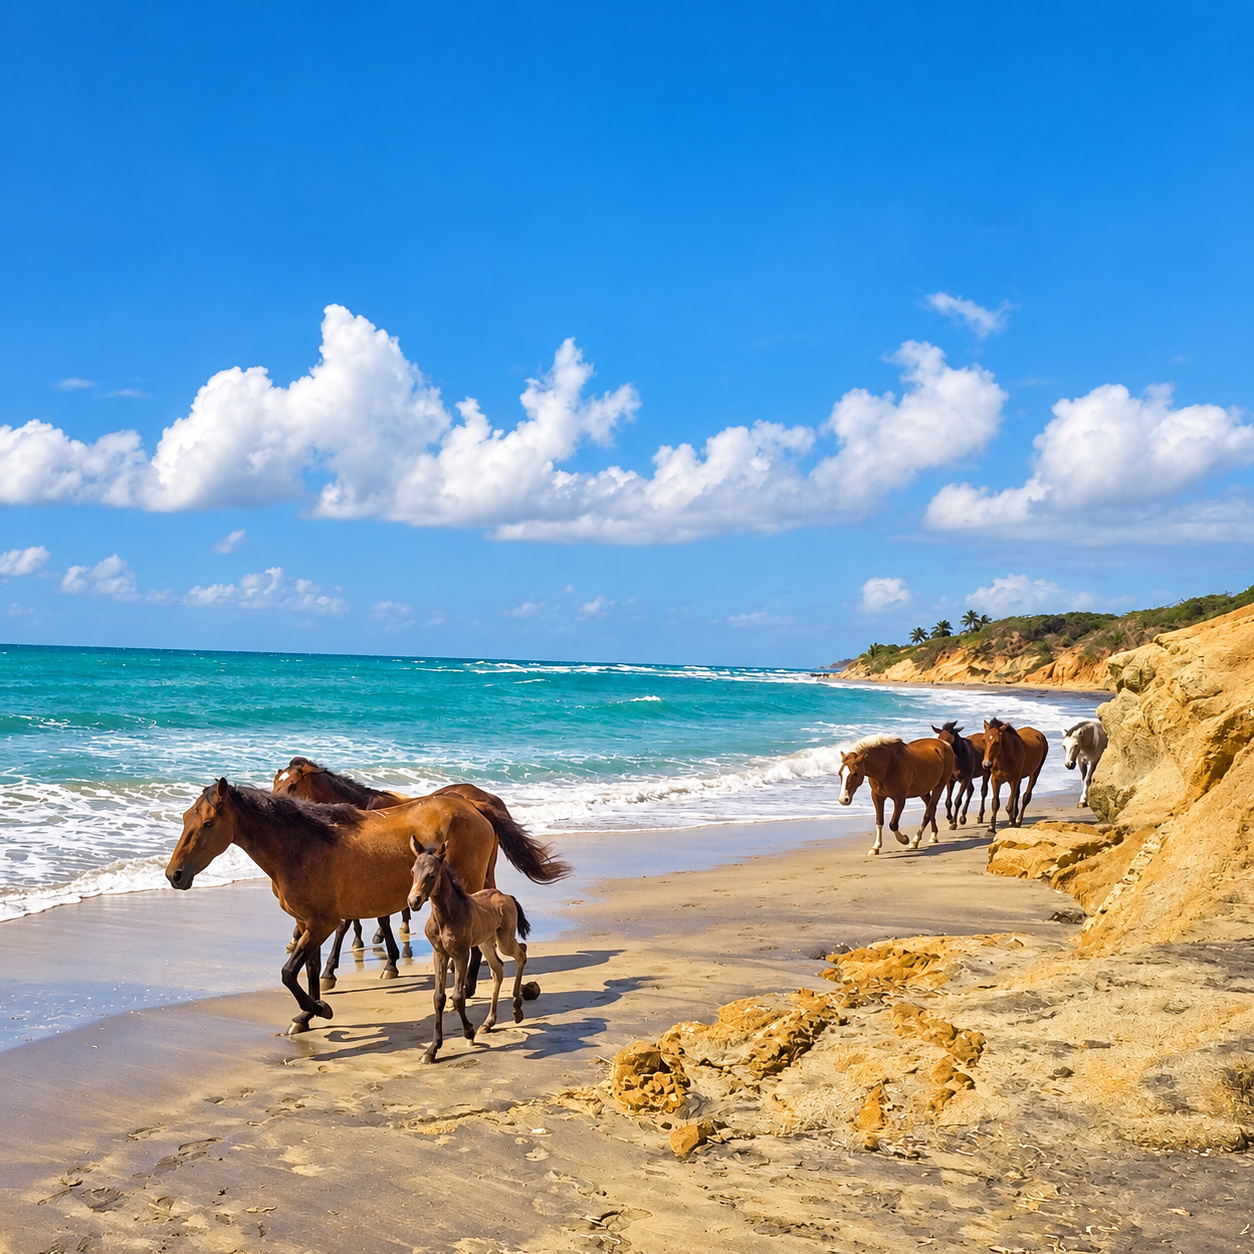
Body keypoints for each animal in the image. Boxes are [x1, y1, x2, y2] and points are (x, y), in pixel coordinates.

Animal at [166, 782, 509, 1034]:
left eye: (207, 823)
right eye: (184, 818)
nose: (174, 875)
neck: (302, 847)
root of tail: (474, 807)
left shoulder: (323, 923)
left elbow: (288, 973)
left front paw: (319, 1009)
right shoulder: (306, 923)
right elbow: (309, 970)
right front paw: (306, 1015)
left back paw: (466, 989)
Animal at [408, 843, 530, 1065]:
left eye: (431, 875)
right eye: (413, 871)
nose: (414, 901)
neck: (446, 917)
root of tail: (507, 896)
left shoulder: (460, 954)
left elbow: (458, 996)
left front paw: (469, 1032)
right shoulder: (439, 954)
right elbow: (438, 998)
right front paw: (432, 1050)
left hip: (504, 940)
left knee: (521, 953)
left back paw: (516, 1009)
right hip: (485, 944)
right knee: (498, 969)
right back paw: (488, 1023)